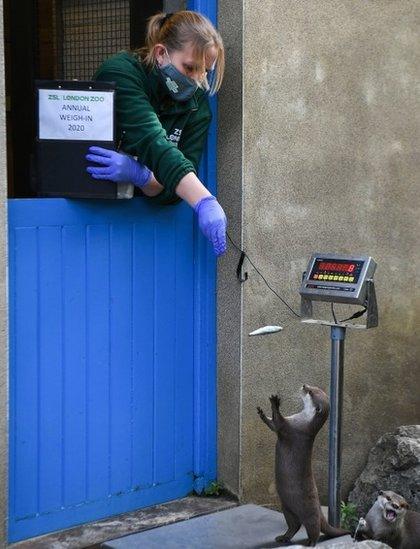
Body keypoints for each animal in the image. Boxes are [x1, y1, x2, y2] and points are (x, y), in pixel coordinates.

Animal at [258, 384, 350, 544]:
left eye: (311, 392)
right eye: (313, 387)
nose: (304, 385)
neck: (303, 421)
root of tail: (320, 511)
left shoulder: (292, 428)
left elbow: (278, 422)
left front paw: (275, 404)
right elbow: (272, 425)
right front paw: (262, 414)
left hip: (310, 512)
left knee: (314, 528)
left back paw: (310, 542)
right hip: (287, 508)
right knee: (294, 525)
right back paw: (283, 537)